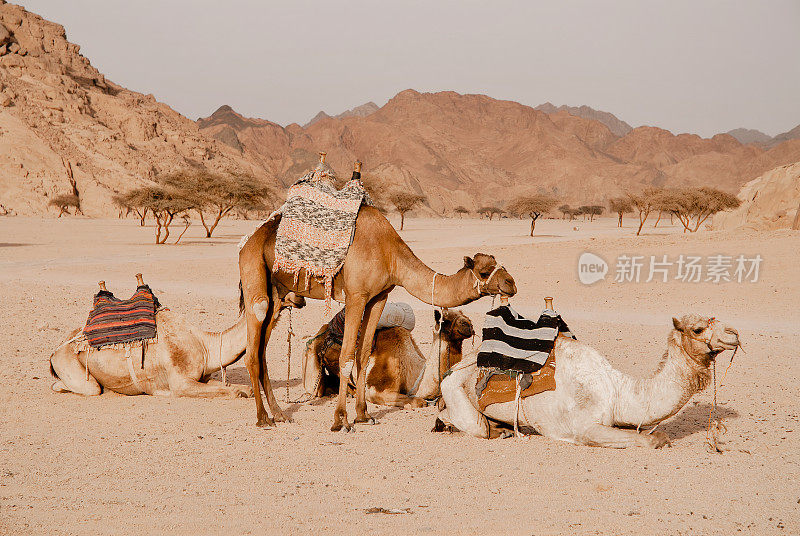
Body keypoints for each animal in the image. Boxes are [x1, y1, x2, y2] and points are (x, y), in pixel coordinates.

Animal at [434, 314, 740, 448]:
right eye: (697, 329)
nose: (734, 333)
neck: (617, 390)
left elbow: (657, 434)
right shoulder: (585, 428)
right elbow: (648, 441)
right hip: (454, 390)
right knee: (473, 425)